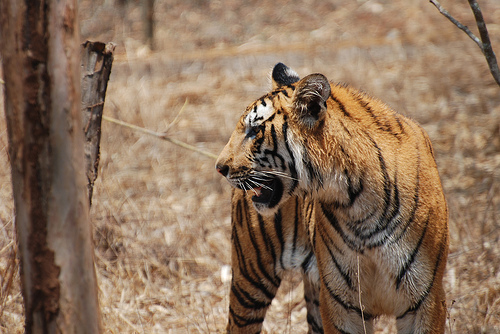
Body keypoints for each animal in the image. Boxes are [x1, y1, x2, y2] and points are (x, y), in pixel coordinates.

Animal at [217, 63, 452, 334]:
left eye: (254, 130)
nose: (219, 168)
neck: (359, 205)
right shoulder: (341, 303)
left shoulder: (426, 298)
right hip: (251, 277)